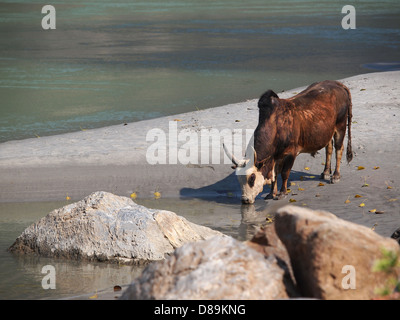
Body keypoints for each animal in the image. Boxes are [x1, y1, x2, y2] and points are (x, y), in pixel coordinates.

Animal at [225, 81, 354, 204]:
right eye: (239, 179)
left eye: (252, 178)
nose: (245, 200)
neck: (276, 125)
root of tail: (337, 84)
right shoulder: (275, 156)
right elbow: (275, 174)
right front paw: (271, 193)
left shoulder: (291, 153)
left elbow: (284, 173)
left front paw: (282, 193)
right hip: (328, 131)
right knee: (329, 148)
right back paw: (326, 172)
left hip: (341, 126)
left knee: (339, 149)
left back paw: (335, 175)